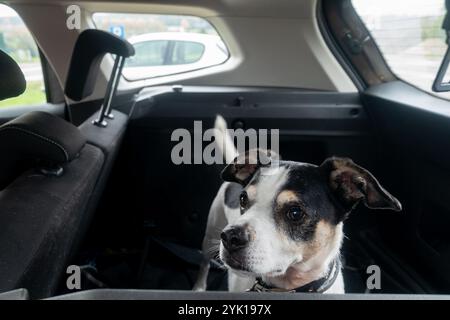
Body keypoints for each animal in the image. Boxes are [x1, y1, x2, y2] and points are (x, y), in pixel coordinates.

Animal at [193, 116, 400, 294]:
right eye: (243, 199)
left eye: (295, 212)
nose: (230, 237)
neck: (287, 288)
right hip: (211, 232)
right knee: (203, 263)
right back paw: (198, 287)